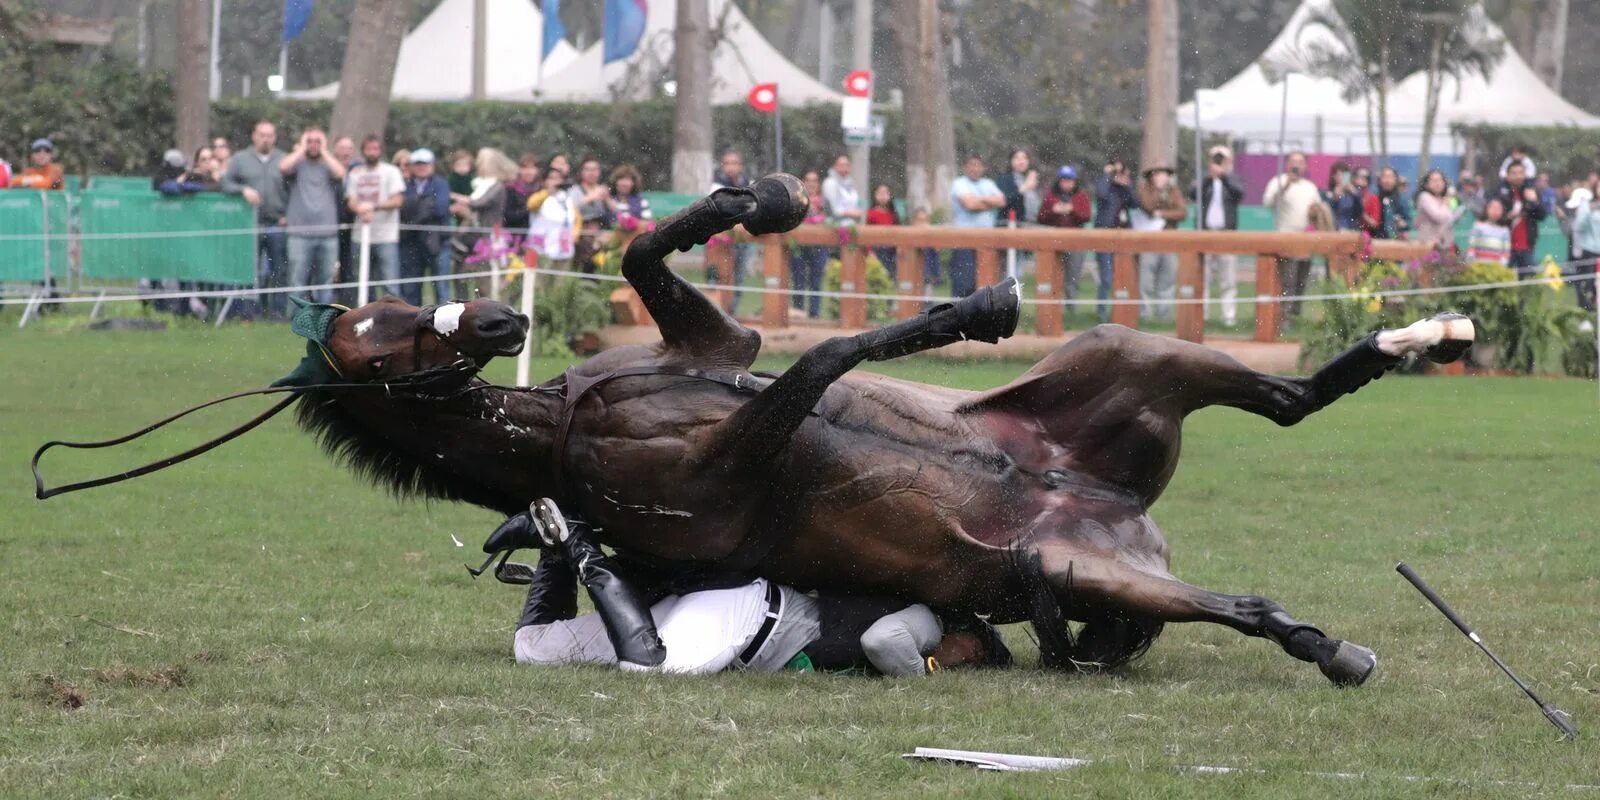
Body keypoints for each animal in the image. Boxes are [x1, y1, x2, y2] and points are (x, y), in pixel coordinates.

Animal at [31, 175, 1472, 688]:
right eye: (370, 335)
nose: (497, 314)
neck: (564, 426)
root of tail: (1119, 522)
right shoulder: (744, 450)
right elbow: (829, 353)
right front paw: (967, 299)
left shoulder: (712, 351)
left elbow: (649, 247)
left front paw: (765, 195)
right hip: (1075, 566)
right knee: (1250, 596)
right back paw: (1331, 647)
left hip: (1126, 361)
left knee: (1286, 399)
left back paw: (1427, 334)